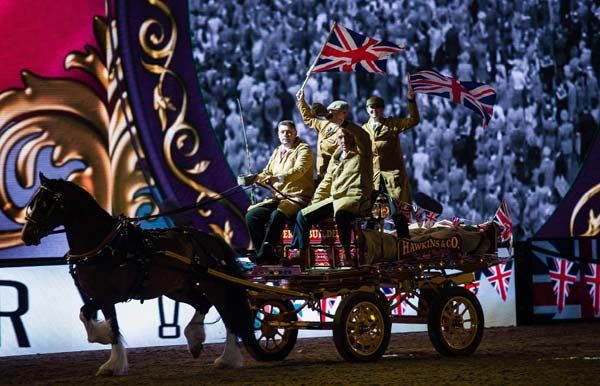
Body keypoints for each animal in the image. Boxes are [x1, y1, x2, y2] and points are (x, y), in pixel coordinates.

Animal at [22, 174, 252, 374]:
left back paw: (228, 358)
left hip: (214, 285)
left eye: (44, 204)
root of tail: (211, 238)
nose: (26, 235)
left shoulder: (109, 296)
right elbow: (95, 317)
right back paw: (196, 340)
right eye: (33, 201)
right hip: (177, 288)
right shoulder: (100, 296)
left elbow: (100, 320)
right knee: (203, 304)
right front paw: (111, 354)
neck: (106, 245)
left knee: (229, 315)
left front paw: (110, 358)